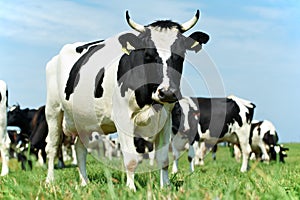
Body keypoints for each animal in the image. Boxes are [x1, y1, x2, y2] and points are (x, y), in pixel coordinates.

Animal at [45, 9, 209, 191]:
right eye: (148, 54)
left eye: (181, 54)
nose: (167, 92)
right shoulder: (123, 118)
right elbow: (131, 159)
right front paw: (131, 189)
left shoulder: (166, 120)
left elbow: (163, 158)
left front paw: (165, 187)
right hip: (53, 111)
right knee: (52, 147)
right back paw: (50, 181)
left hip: (82, 120)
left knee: (80, 149)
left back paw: (84, 182)